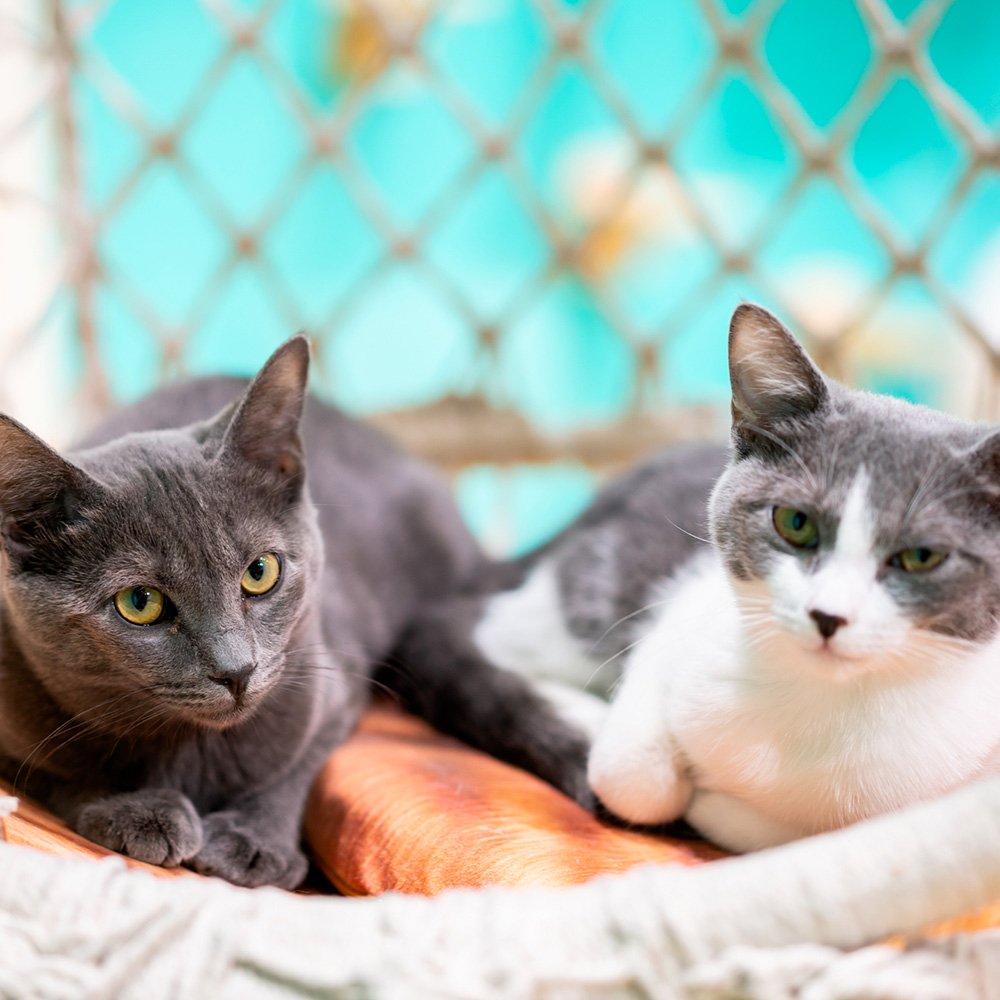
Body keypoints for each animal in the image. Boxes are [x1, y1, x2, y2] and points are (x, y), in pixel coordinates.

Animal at [0, 340, 488, 888]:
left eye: (260, 571)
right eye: (139, 603)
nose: (237, 670)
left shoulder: (335, 688)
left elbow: (295, 769)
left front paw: (254, 839)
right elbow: (61, 771)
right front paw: (137, 808)